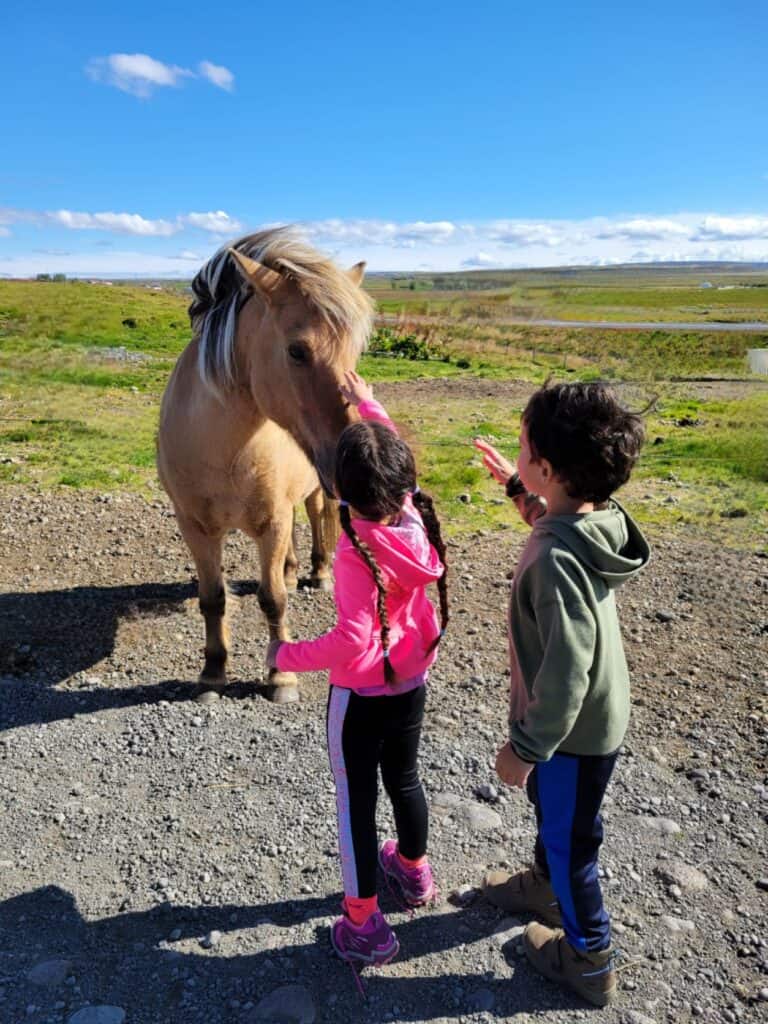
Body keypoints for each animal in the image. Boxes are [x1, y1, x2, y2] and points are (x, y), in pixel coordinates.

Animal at [156, 227, 372, 700]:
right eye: (297, 351)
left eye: (354, 353)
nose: (354, 456)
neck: (226, 451)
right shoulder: (196, 527)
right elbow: (213, 598)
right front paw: (213, 671)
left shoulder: (272, 521)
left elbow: (273, 599)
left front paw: (279, 675)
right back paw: (292, 570)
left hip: (314, 491)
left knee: (316, 516)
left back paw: (318, 572)